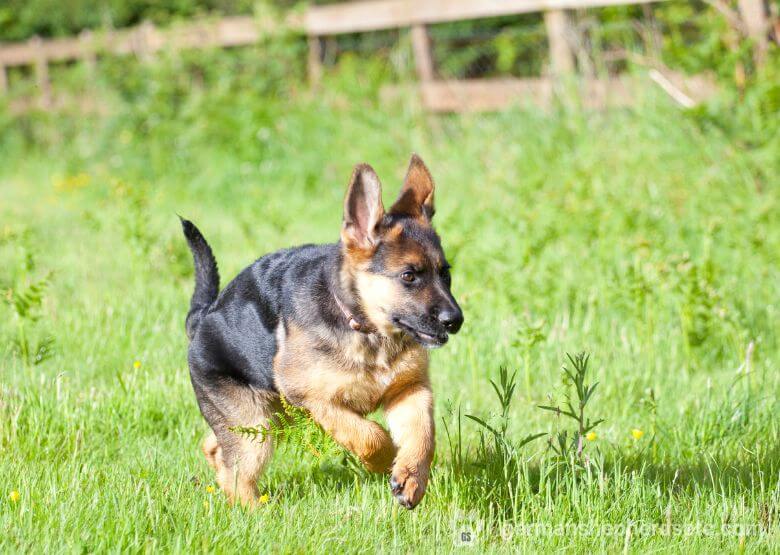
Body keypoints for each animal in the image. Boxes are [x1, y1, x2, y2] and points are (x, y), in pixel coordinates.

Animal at [181, 154, 464, 510]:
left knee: (217, 448)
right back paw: (258, 513)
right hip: (257, 421)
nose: (455, 320)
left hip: (272, 417)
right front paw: (385, 460)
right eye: (409, 276)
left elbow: (422, 434)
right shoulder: (315, 399)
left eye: (445, 274)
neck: (364, 327)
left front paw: (410, 477)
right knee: (239, 474)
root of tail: (202, 317)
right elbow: (369, 435)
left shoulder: (410, 389)